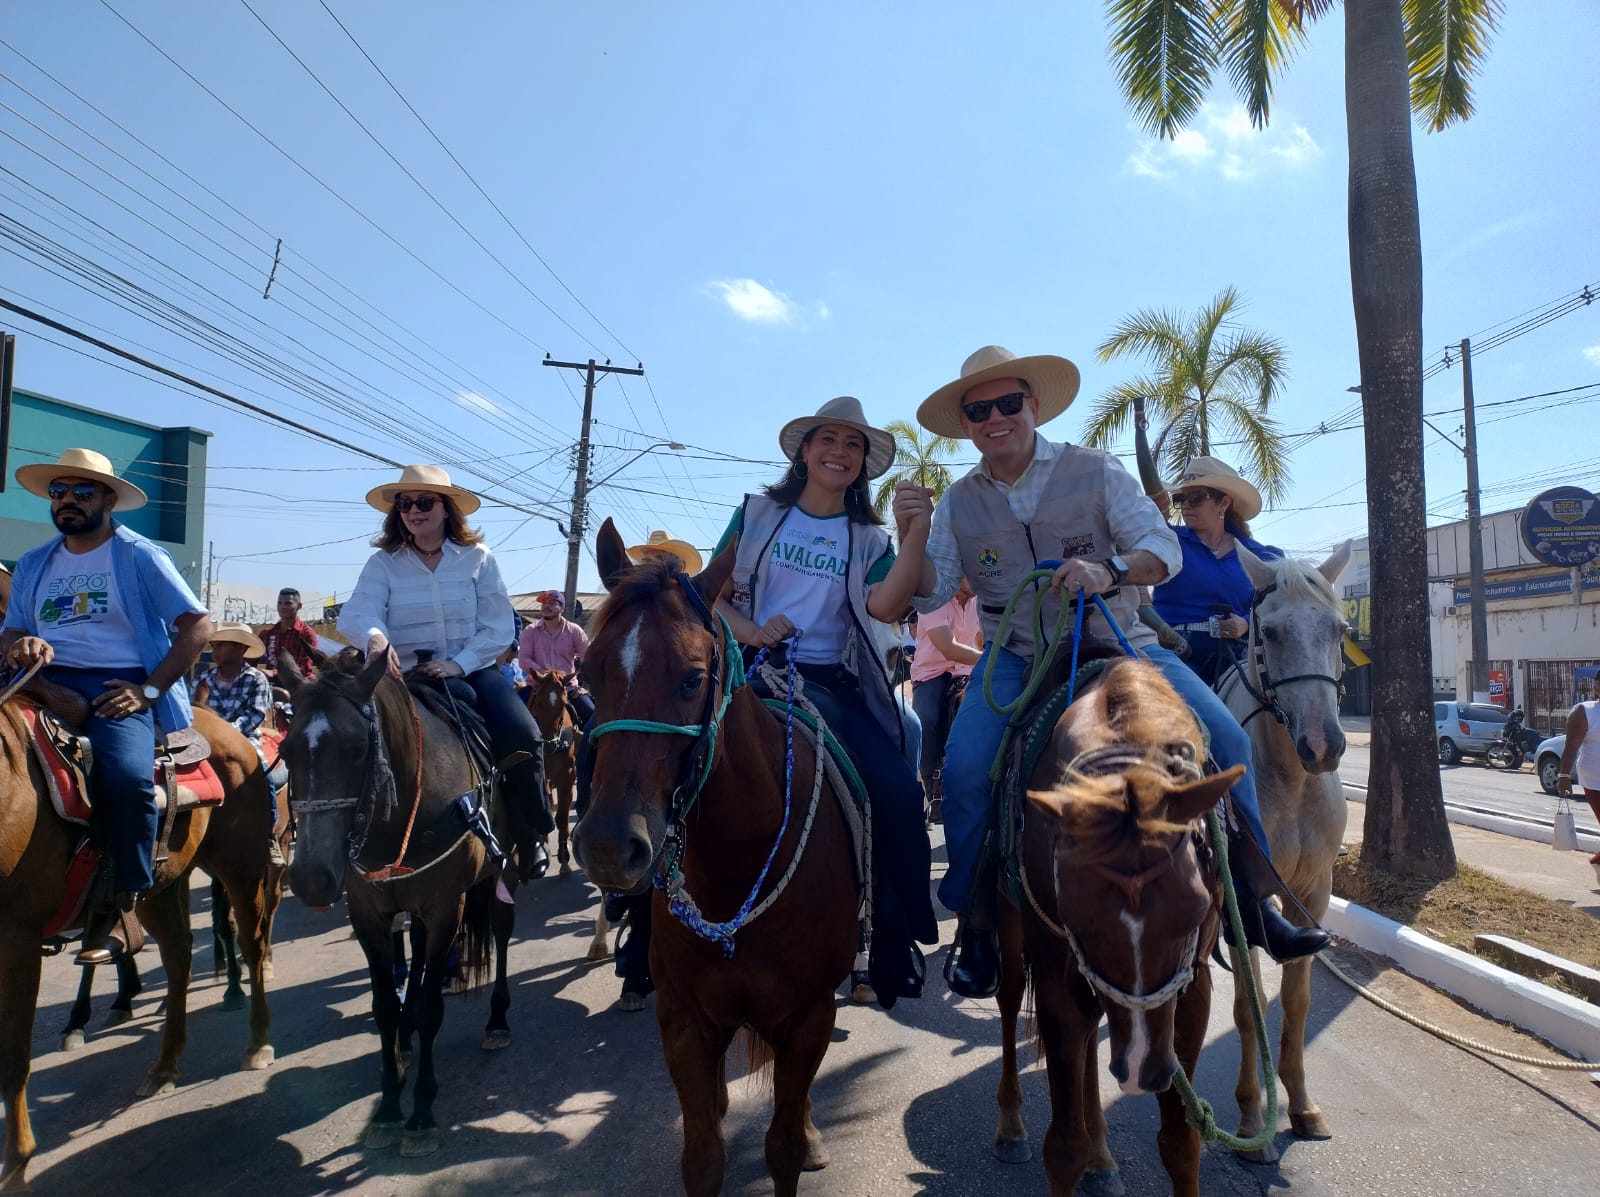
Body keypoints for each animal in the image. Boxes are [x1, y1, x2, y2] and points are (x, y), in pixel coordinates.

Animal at [0, 700, 276, 1190]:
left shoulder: (19, 935)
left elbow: (13, 1056)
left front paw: (15, 1164)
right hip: (162, 883)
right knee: (179, 955)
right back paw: (165, 1064)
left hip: (239, 866)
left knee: (252, 942)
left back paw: (257, 1041)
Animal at [281, 649, 515, 1152]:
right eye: (286, 752)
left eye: (356, 749)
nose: (310, 879)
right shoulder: (368, 914)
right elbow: (385, 1006)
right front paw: (389, 1104)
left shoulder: (446, 907)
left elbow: (431, 1009)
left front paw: (422, 1111)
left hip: (504, 871)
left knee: (502, 935)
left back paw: (497, 1021)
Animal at [576, 521, 864, 1197]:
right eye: (587, 672)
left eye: (691, 678)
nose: (608, 847)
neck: (738, 868)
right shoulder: (685, 1020)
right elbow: (702, 1157)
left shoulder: (809, 1017)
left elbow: (783, 1148)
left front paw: (800, 1138)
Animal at [992, 656, 1241, 1197]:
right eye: (1078, 918)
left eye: (1194, 911)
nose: (1140, 1072)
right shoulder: (1056, 976)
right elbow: (1063, 1146)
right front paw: (1070, 1150)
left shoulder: (1193, 985)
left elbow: (1181, 1141)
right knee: (1008, 998)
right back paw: (1011, 1127)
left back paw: (1102, 1159)